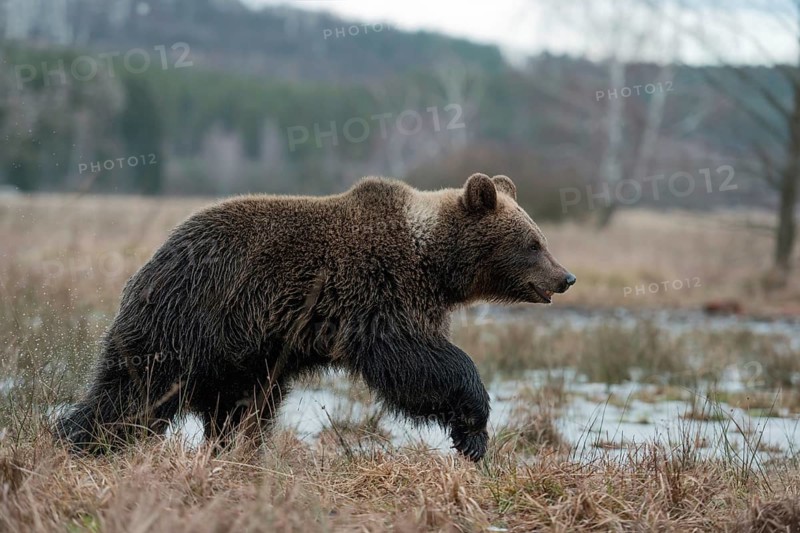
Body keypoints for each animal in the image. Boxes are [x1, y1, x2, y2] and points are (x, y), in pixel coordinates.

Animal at [55, 173, 576, 461]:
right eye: (533, 242)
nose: (565, 276)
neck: (433, 263)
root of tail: (153, 259)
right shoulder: (378, 290)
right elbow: (415, 360)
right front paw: (473, 428)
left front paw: (470, 435)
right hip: (193, 317)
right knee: (135, 394)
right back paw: (75, 439)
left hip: (245, 357)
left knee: (240, 410)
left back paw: (237, 453)